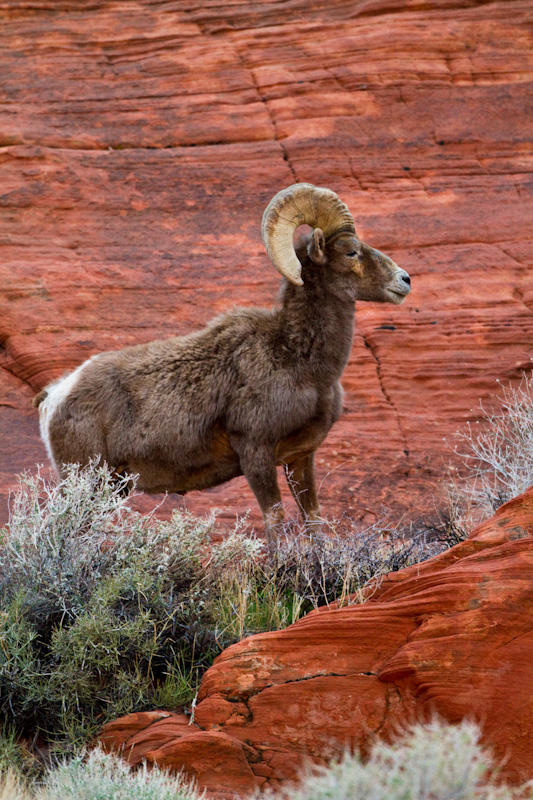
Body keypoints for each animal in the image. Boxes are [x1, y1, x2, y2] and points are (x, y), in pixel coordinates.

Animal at [35, 184, 410, 540]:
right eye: (351, 251)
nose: (405, 280)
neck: (300, 362)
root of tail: (55, 396)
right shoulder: (255, 453)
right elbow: (275, 526)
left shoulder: (300, 458)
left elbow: (313, 523)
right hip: (87, 482)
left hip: (112, 486)